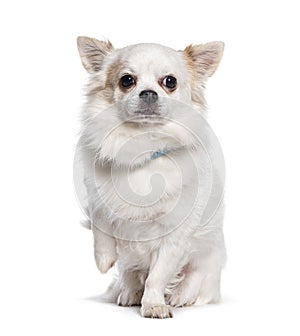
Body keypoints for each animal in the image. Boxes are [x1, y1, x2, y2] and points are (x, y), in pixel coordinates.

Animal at [76, 36, 226, 318]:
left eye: (170, 82)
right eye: (127, 80)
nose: (148, 92)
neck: (142, 146)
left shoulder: (174, 235)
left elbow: (157, 276)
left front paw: (155, 304)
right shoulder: (97, 197)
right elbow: (101, 227)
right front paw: (103, 259)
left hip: (208, 257)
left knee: (194, 280)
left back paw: (179, 296)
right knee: (130, 272)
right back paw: (130, 293)